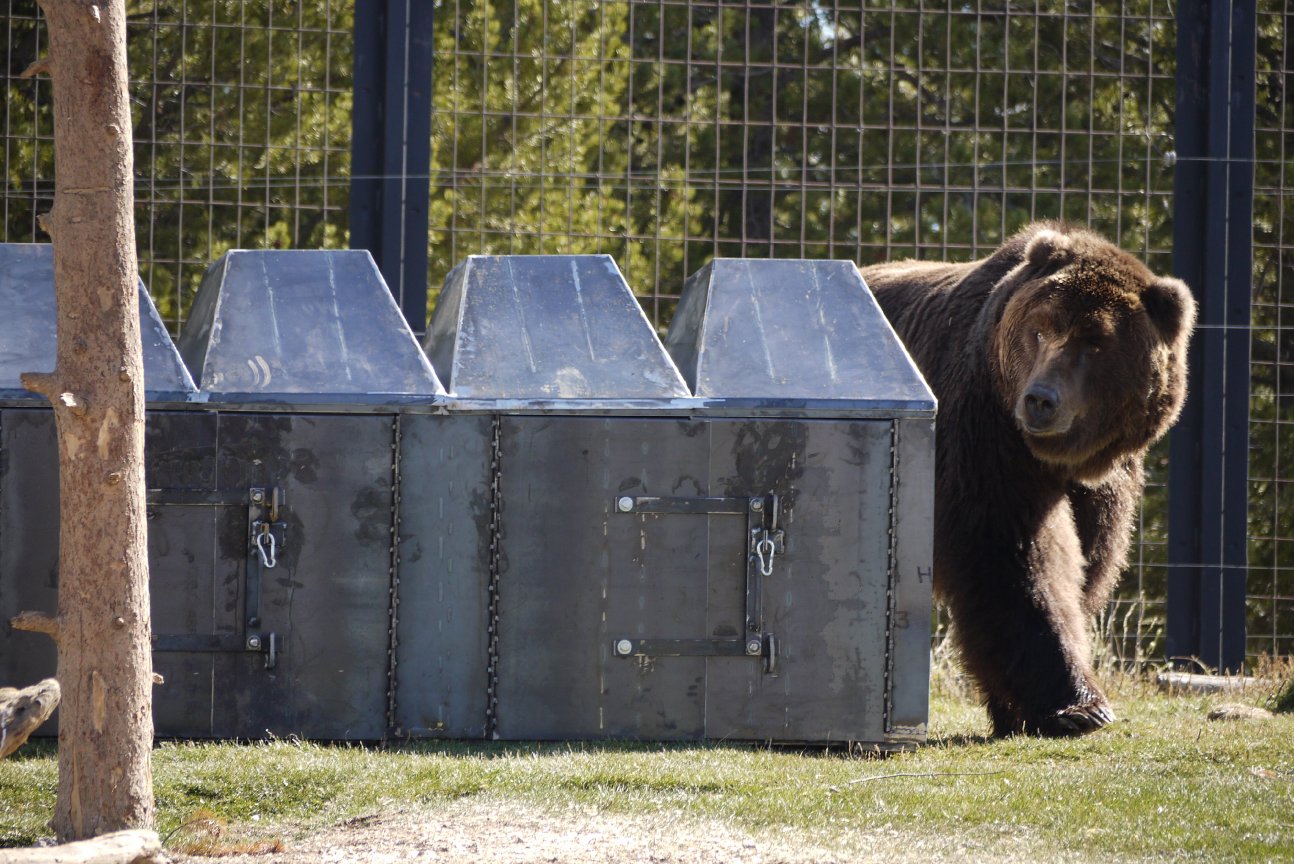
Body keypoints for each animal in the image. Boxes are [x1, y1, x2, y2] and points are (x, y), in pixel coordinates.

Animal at [861, 222, 1196, 737]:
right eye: (1040, 329)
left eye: (1095, 342)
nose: (1041, 399)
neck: (1060, 460)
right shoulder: (984, 437)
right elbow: (1017, 560)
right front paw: (1078, 706)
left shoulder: (1104, 485)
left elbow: (1088, 560)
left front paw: (1015, 710)